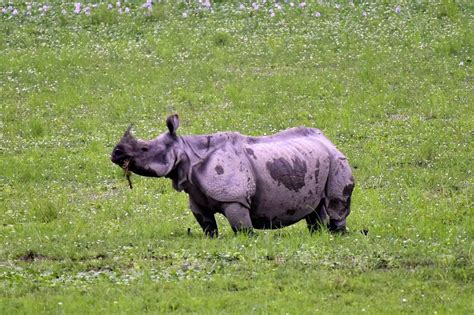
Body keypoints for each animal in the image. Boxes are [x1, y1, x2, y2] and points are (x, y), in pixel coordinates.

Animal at [111, 115, 354, 237]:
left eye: (144, 149)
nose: (115, 153)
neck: (186, 152)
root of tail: (328, 140)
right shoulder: (196, 196)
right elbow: (207, 225)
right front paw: (212, 239)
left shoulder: (234, 198)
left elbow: (242, 227)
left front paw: (248, 239)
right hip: (311, 159)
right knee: (315, 209)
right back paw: (318, 235)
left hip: (337, 160)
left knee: (336, 202)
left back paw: (337, 235)